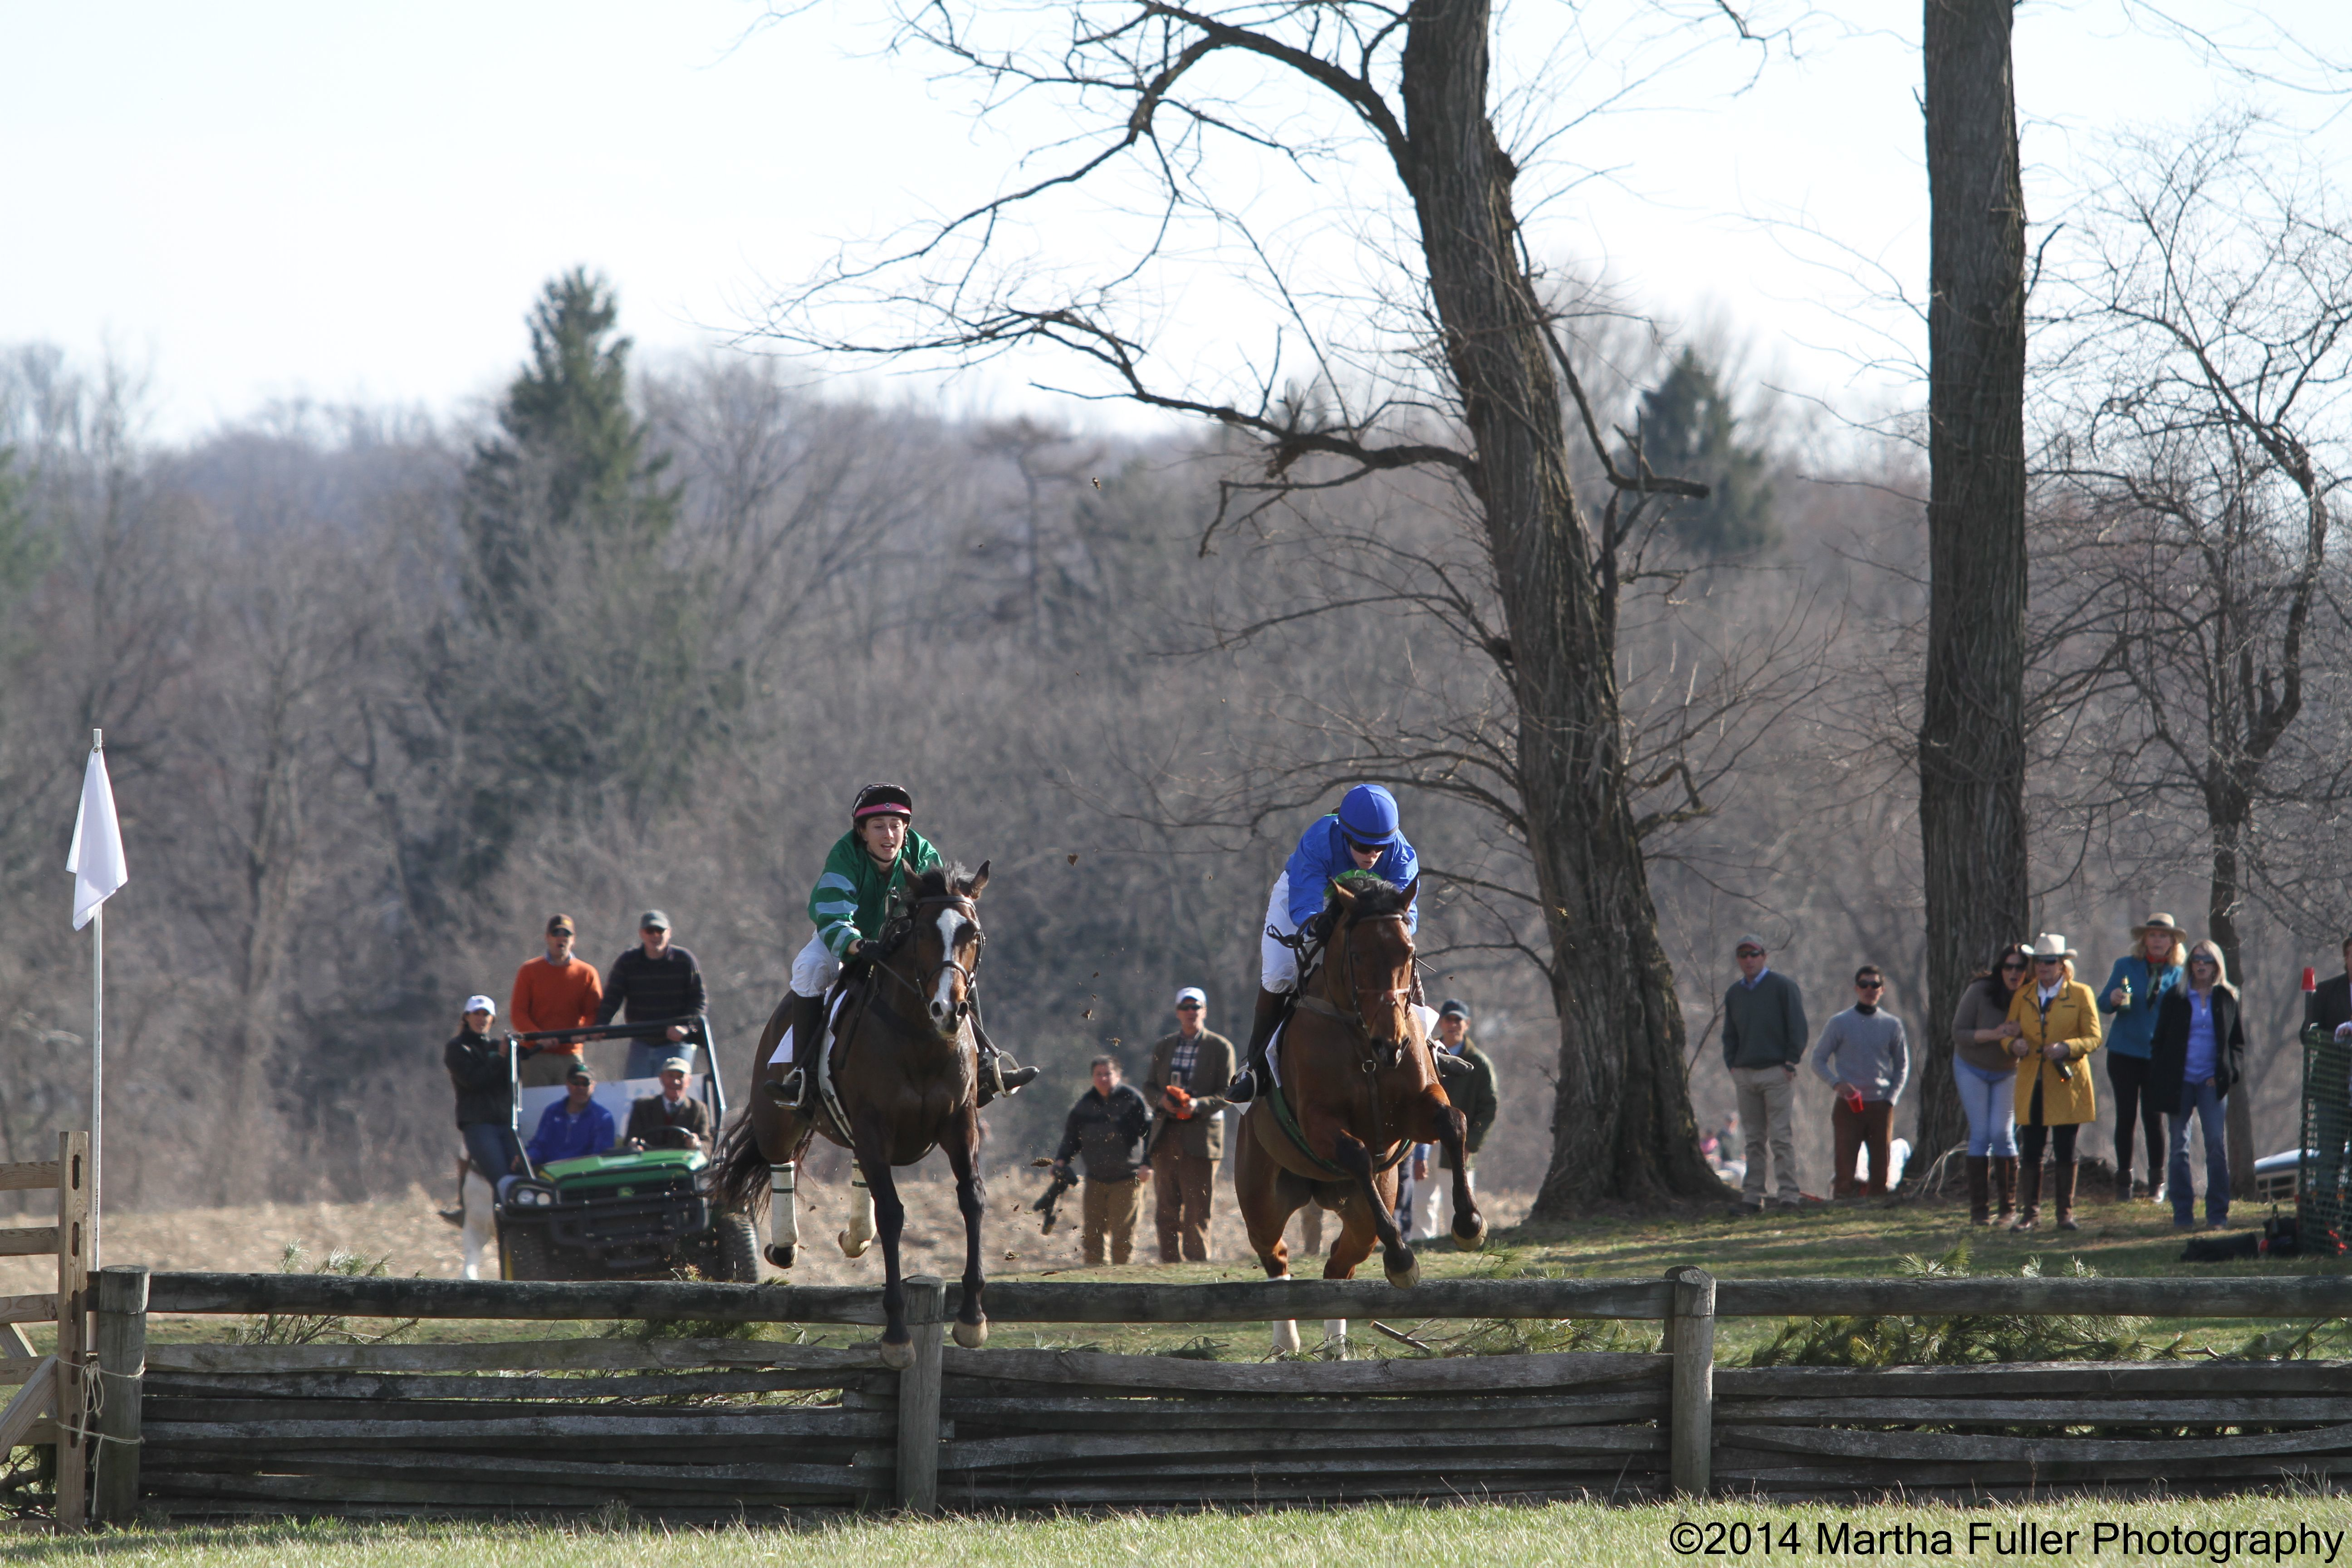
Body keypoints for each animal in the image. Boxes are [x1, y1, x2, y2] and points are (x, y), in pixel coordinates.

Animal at [706, 865, 983, 1363]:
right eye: (922, 935)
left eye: (972, 934)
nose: (949, 1010)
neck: (920, 1037)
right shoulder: (874, 1123)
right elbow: (893, 1214)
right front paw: (897, 1334)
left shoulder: (960, 1121)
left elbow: (971, 1198)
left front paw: (972, 1318)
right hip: (777, 1116)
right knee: (780, 1159)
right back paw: (786, 1244)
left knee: (857, 1169)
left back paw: (856, 1234)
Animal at [1232, 879, 1486, 1354]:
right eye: (1357, 956)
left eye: (1408, 953)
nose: (1392, 1045)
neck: (1360, 1039)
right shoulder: (1319, 1123)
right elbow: (1356, 1153)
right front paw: (1403, 1256)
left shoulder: (1413, 1112)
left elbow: (1453, 1122)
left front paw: (1469, 1224)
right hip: (1261, 1197)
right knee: (1275, 1255)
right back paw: (1287, 1342)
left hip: (1364, 1210)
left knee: (1340, 1263)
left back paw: (1336, 1348)